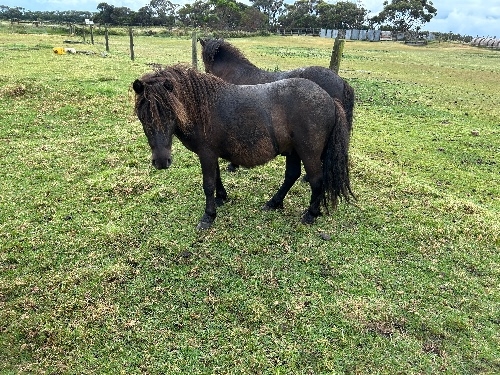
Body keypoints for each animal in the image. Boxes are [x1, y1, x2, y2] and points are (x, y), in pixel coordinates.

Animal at [133, 64, 352, 229]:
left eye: (171, 112)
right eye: (142, 116)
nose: (161, 161)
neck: (202, 108)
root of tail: (330, 100)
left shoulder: (206, 154)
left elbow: (208, 184)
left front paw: (208, 216)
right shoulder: (211, 154)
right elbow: (217, 177)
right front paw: (221, 198)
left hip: (308, 153)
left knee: (316, 180)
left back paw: (310, 214)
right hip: (293, 151)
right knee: (292, 175)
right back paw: (274, 203)